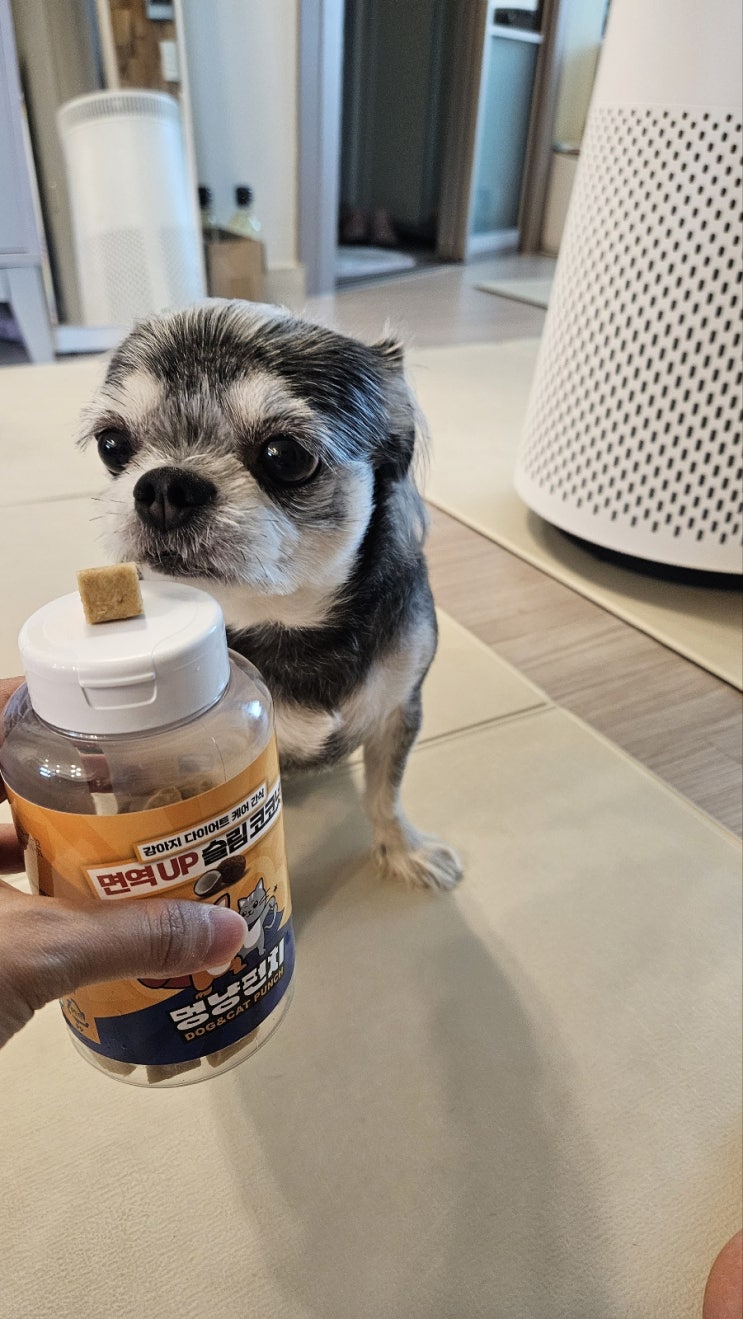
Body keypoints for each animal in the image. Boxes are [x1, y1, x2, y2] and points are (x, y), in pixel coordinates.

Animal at [81, 300, 461, 891]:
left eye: (286, 456)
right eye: (112, 444)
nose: (164, 485)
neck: (284, 622)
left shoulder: (398, 712)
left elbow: (385, 795)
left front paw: (404, 850)